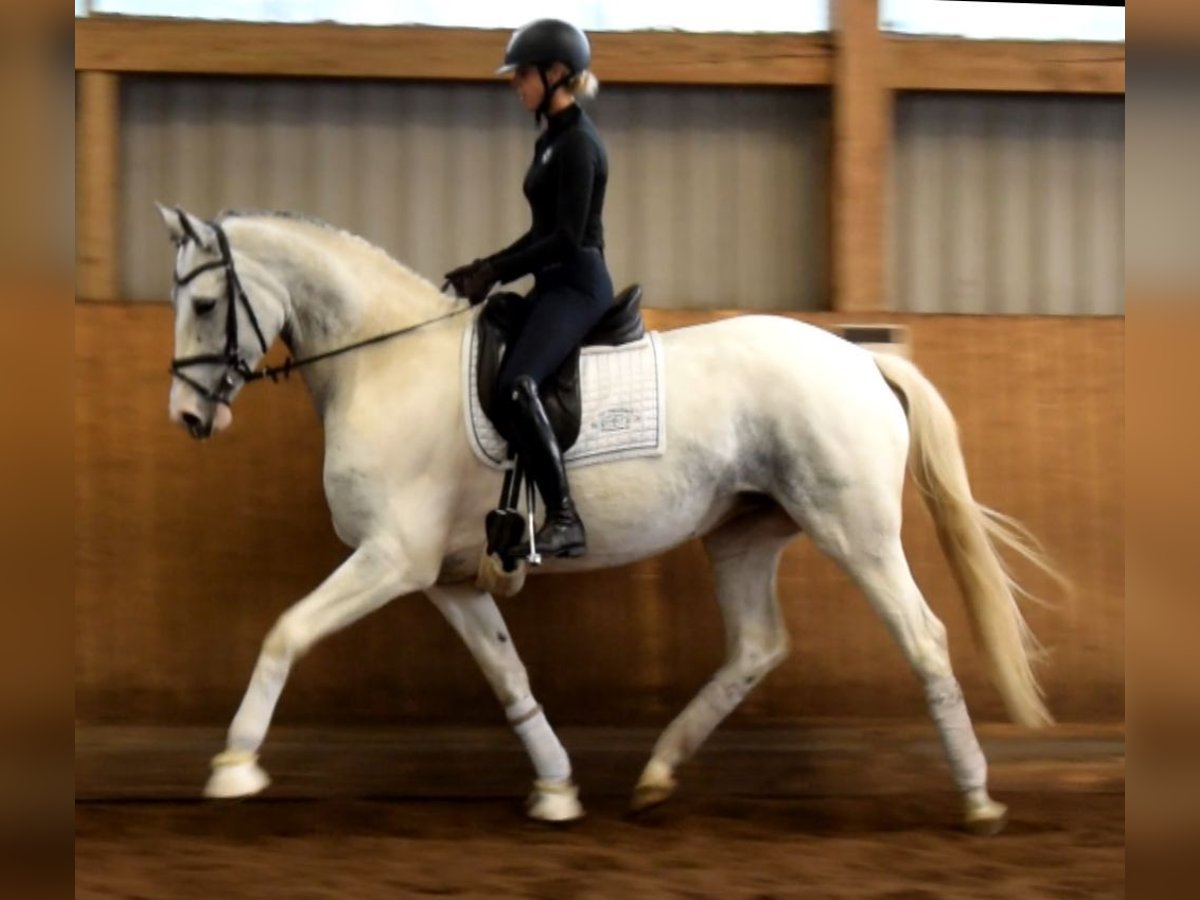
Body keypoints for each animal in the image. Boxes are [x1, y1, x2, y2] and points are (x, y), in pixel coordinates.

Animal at [157, 206, 1060, 840]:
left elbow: (285, 632)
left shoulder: (391, 560)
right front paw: (557, 789)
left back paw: (978, 800)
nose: (188, 418)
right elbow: (509, 675)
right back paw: (656, 776)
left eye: (202, 302)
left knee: (924, 638)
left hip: (854, 530)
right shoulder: (444, 578)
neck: (384, 360)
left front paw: (233, 766)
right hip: (742, 533)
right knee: (757, 647)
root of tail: (860, 356)